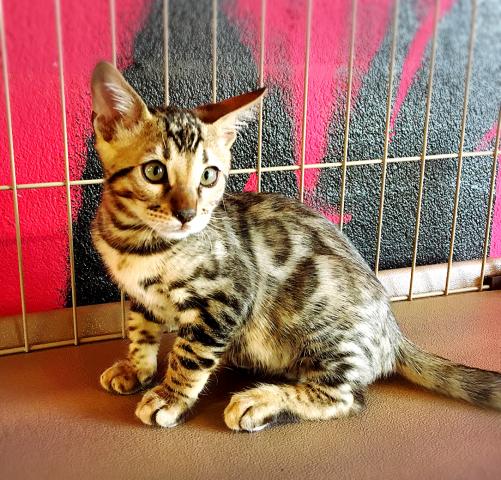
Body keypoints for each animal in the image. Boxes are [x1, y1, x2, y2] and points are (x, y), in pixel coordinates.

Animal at [91, 61, 501, 432]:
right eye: (154, 171)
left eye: (208, 176)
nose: (187, 214)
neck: (139, 244)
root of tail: (392, 334)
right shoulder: (140, 296)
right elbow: (142, 331)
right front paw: (136, 368)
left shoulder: (225, 298)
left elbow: (189, 354)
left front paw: (170, 397)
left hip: (325, 330)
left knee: (346, 397)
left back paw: (260, 402)